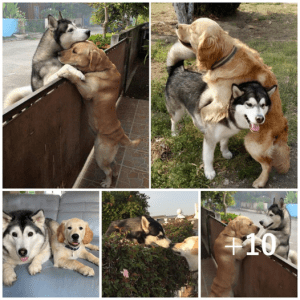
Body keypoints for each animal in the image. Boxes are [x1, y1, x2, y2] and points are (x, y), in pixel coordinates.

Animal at [56, 40, 141, 188]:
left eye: (75, 51)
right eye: (71, 47)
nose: (57, 53)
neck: (103, 68)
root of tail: (120, 135)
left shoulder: (87, 91)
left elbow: (76, 78)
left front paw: (67, 74)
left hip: (100, 154)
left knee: (108, 170)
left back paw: (107, 182)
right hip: (107, 155)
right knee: (114, 164)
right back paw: (115, 174)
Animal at [176, 17, 288, 188]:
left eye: (193, 28)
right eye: (191, 23)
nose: (176, 25)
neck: (225, 56)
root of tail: (283, 127)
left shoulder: (220, 103)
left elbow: (202, 111)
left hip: (251, 143)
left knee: (268, 163)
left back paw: (260, 181)